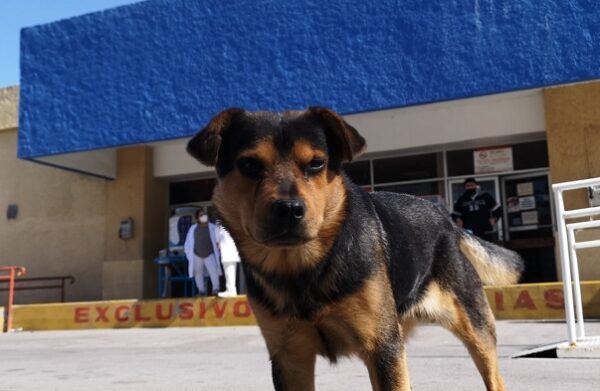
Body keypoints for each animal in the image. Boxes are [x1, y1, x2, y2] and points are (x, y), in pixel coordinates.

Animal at [186, 108, 520, 391]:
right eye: (249, 165)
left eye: (316, 164)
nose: (289, 209)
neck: (303, 267)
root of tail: (444, 217)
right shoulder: (290, 357)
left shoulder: (382, 348)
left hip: (474, 328)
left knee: (494, 376)